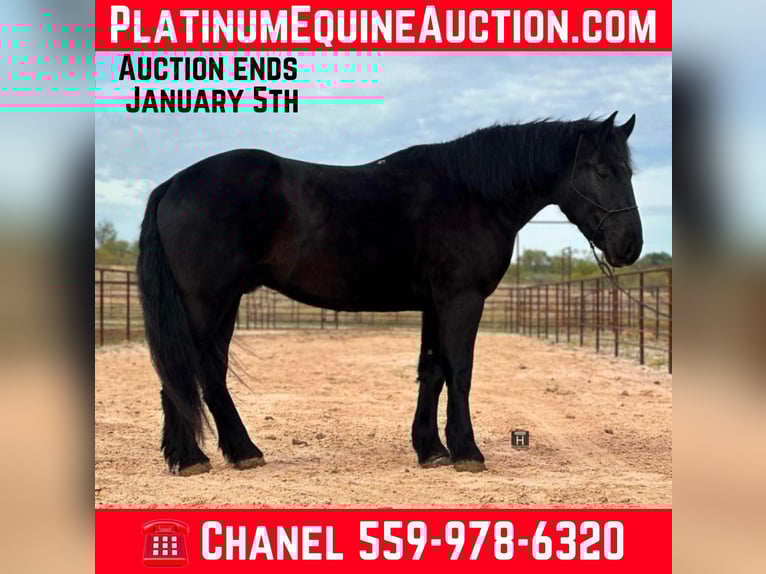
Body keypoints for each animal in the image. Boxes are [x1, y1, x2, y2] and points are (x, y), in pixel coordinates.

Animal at [137, 111, 642, 476]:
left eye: (628, 172)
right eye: (602, 171)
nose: (630, 246)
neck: (473, 193)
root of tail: (174, 183)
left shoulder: (436, 304)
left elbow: (432, 371)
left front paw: (431, 449)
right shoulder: (462, 299)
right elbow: (459, 370)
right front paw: (467, 452)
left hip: (226, 303)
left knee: (209, 373)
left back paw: (240, 452)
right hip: (205, 303)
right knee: (180, 373)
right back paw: (190, 459)